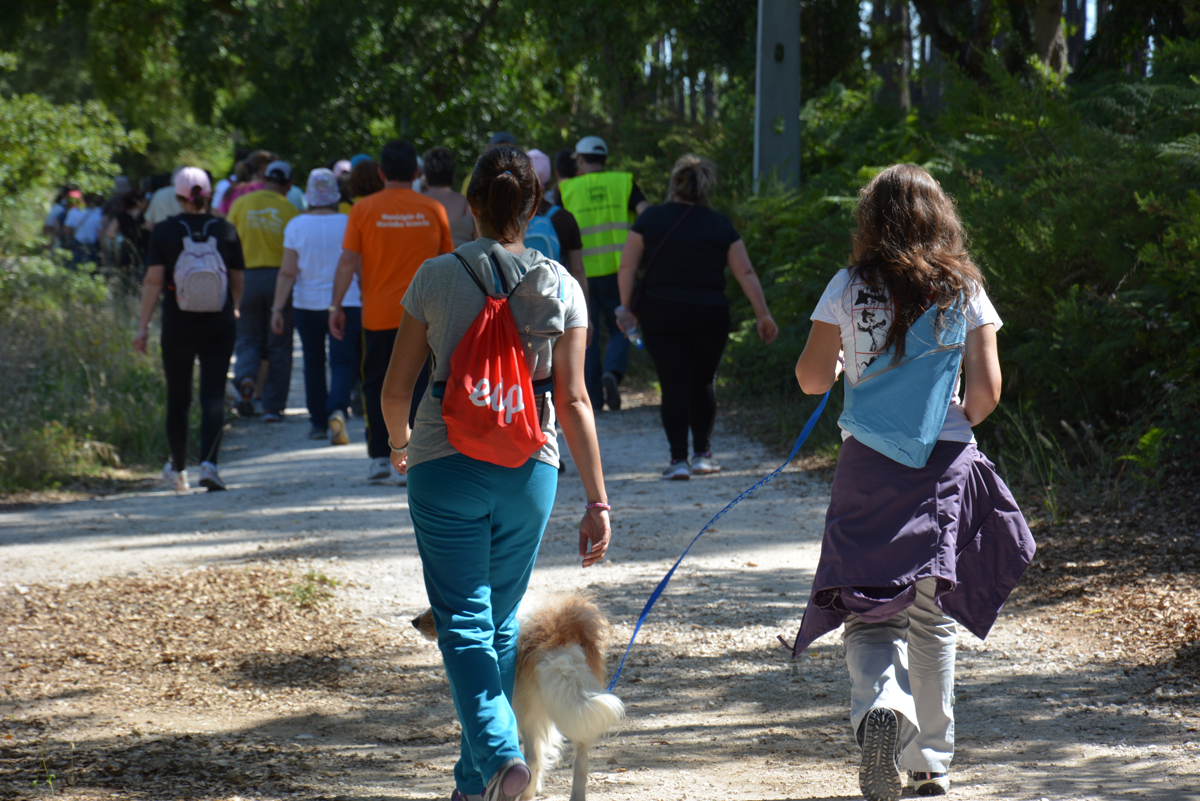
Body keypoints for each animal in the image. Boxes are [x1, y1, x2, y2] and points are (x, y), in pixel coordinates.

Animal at [413, 592, 625, 801]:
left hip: (525, 712)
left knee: (533, 757)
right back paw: (575, 795)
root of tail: (558, 636)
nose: (414, 621)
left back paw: (523, 792)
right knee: (581, 756)